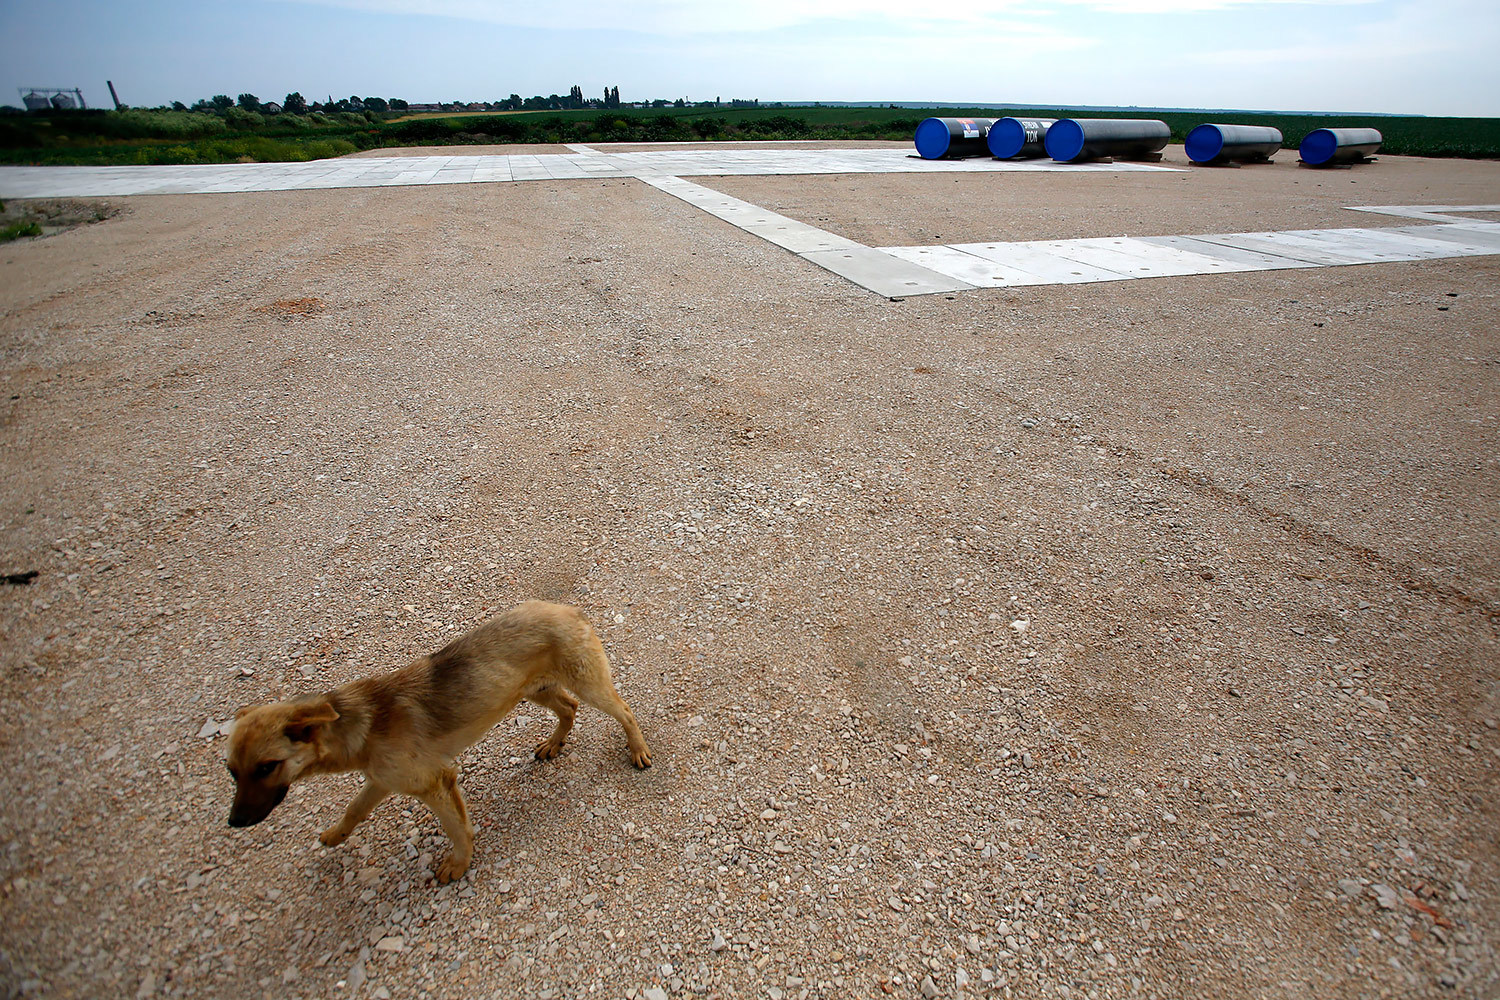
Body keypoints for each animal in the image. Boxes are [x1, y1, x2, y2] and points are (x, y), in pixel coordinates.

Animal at [223, 599, 651, 881]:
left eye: (267, 766)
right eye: (232, 772)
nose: (234, 822)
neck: (361, 723)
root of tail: (568, 609)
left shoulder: (436, 782)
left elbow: (457, 829)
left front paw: (458, 864)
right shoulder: (383, 779)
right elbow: (354, 810)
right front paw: (335, 834)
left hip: (587, 684)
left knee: (624, 711)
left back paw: (638, 749)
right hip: (535, 690)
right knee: (569, 709)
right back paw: (554, 742)